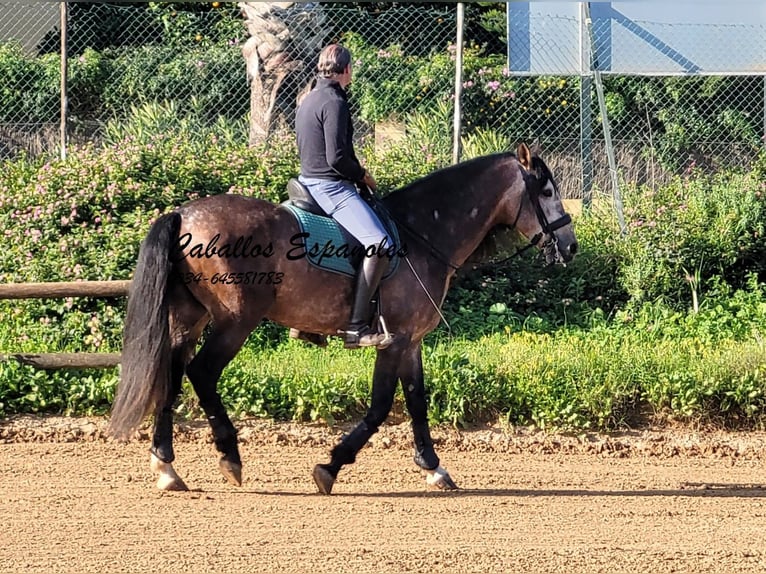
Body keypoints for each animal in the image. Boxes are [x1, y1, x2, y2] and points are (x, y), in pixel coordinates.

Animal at [106, 144, 576, 496]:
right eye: (546, 191)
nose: (570, 246)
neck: (423, 232)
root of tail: (184, 214)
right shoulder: (395, 339)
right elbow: (382, 405)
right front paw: (331, 466)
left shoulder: (411, 341)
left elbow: (417, 400)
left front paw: (433, 467)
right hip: (234, 322)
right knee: (202, 373)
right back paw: (229, 457)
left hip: (191, 319)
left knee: (171, 374)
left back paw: (167, 467)